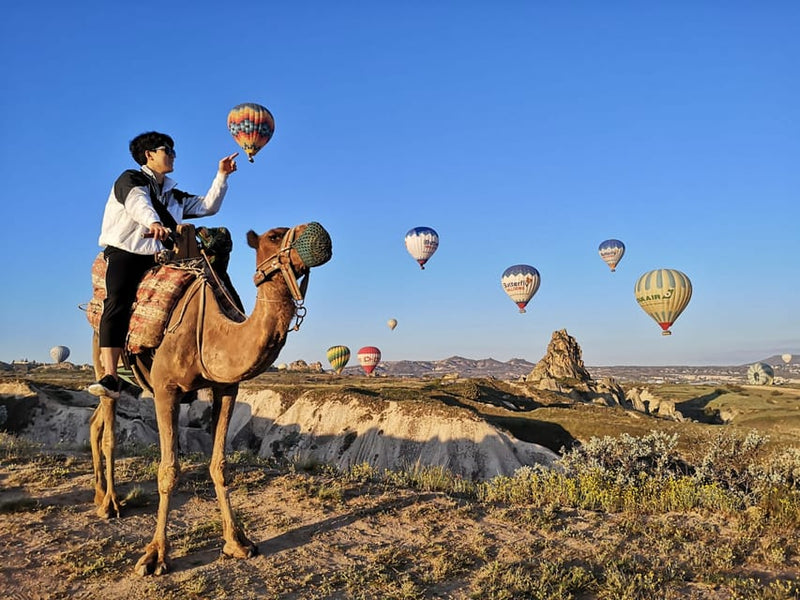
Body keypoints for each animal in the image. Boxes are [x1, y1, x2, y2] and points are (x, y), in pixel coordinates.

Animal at [89, 222, 332, 576]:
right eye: (275, 236)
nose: (319, 231)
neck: (214, 332)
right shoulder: (166, 388)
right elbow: (168, 471)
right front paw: (155, 555)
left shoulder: (227, 388)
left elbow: (220, 465)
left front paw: (237, 542)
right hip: (102, 348)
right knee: (109, 428)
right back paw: (110, 503)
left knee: (94, 423)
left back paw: (98, 494)